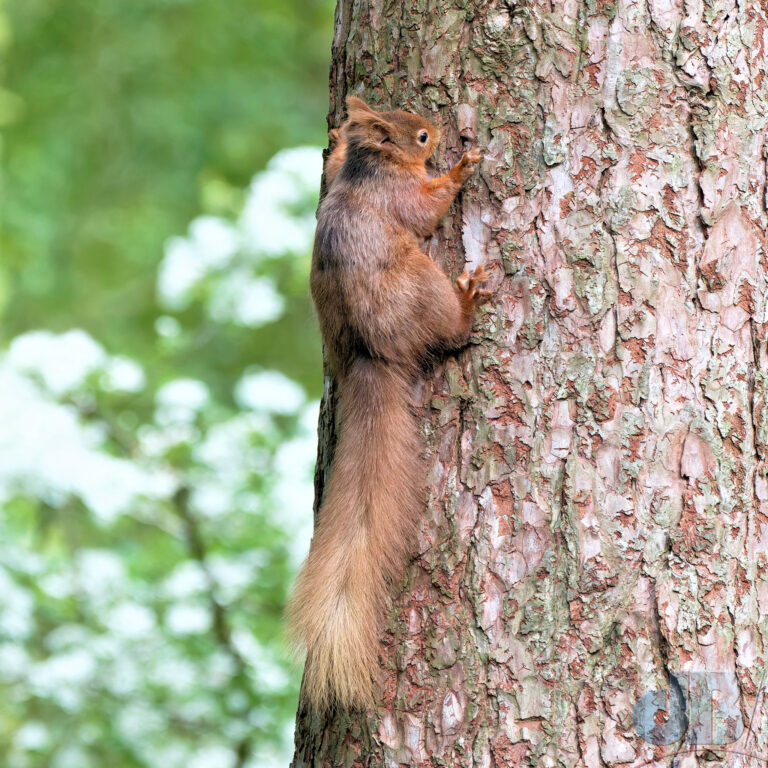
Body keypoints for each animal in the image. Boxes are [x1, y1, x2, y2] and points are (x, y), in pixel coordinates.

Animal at [284, 97, 488, 712]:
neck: (369, 169)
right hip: (422, 282)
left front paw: (336, 137)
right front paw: (460, 168)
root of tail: (369, 352)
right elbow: (426, 207)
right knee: (451, 330)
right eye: (420, 136)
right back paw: (467, 305)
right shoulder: (399, 197)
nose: (442, 131)